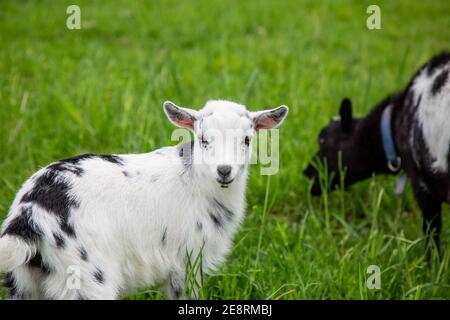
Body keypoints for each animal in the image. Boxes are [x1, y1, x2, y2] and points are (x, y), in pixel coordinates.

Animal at [0, 100, 288, 300]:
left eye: (247, 139)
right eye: (203, 139)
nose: (224, 170)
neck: (196, 181)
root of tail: (29, 213)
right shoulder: (186, 263)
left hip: (24, 282)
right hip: (86, 275)